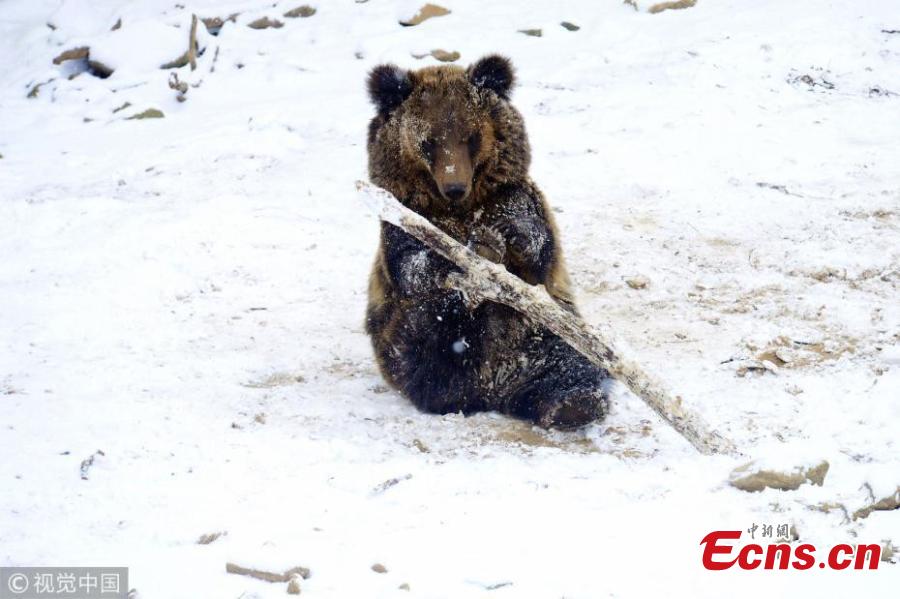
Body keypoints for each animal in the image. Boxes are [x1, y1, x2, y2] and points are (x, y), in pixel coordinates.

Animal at [362, 55, 608, 426]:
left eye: (470, 137)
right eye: (428, 141)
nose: (454, 186)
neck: (461, 210)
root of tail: (495, 386)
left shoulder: (512, 197)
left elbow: (537, 248)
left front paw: (506, 235)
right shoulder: (400, 218)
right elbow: (412, 265)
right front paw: (465, 254)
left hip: (540, 336)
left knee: (570, 362)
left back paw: (573, 404)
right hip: (397, 343)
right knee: (427, 343)